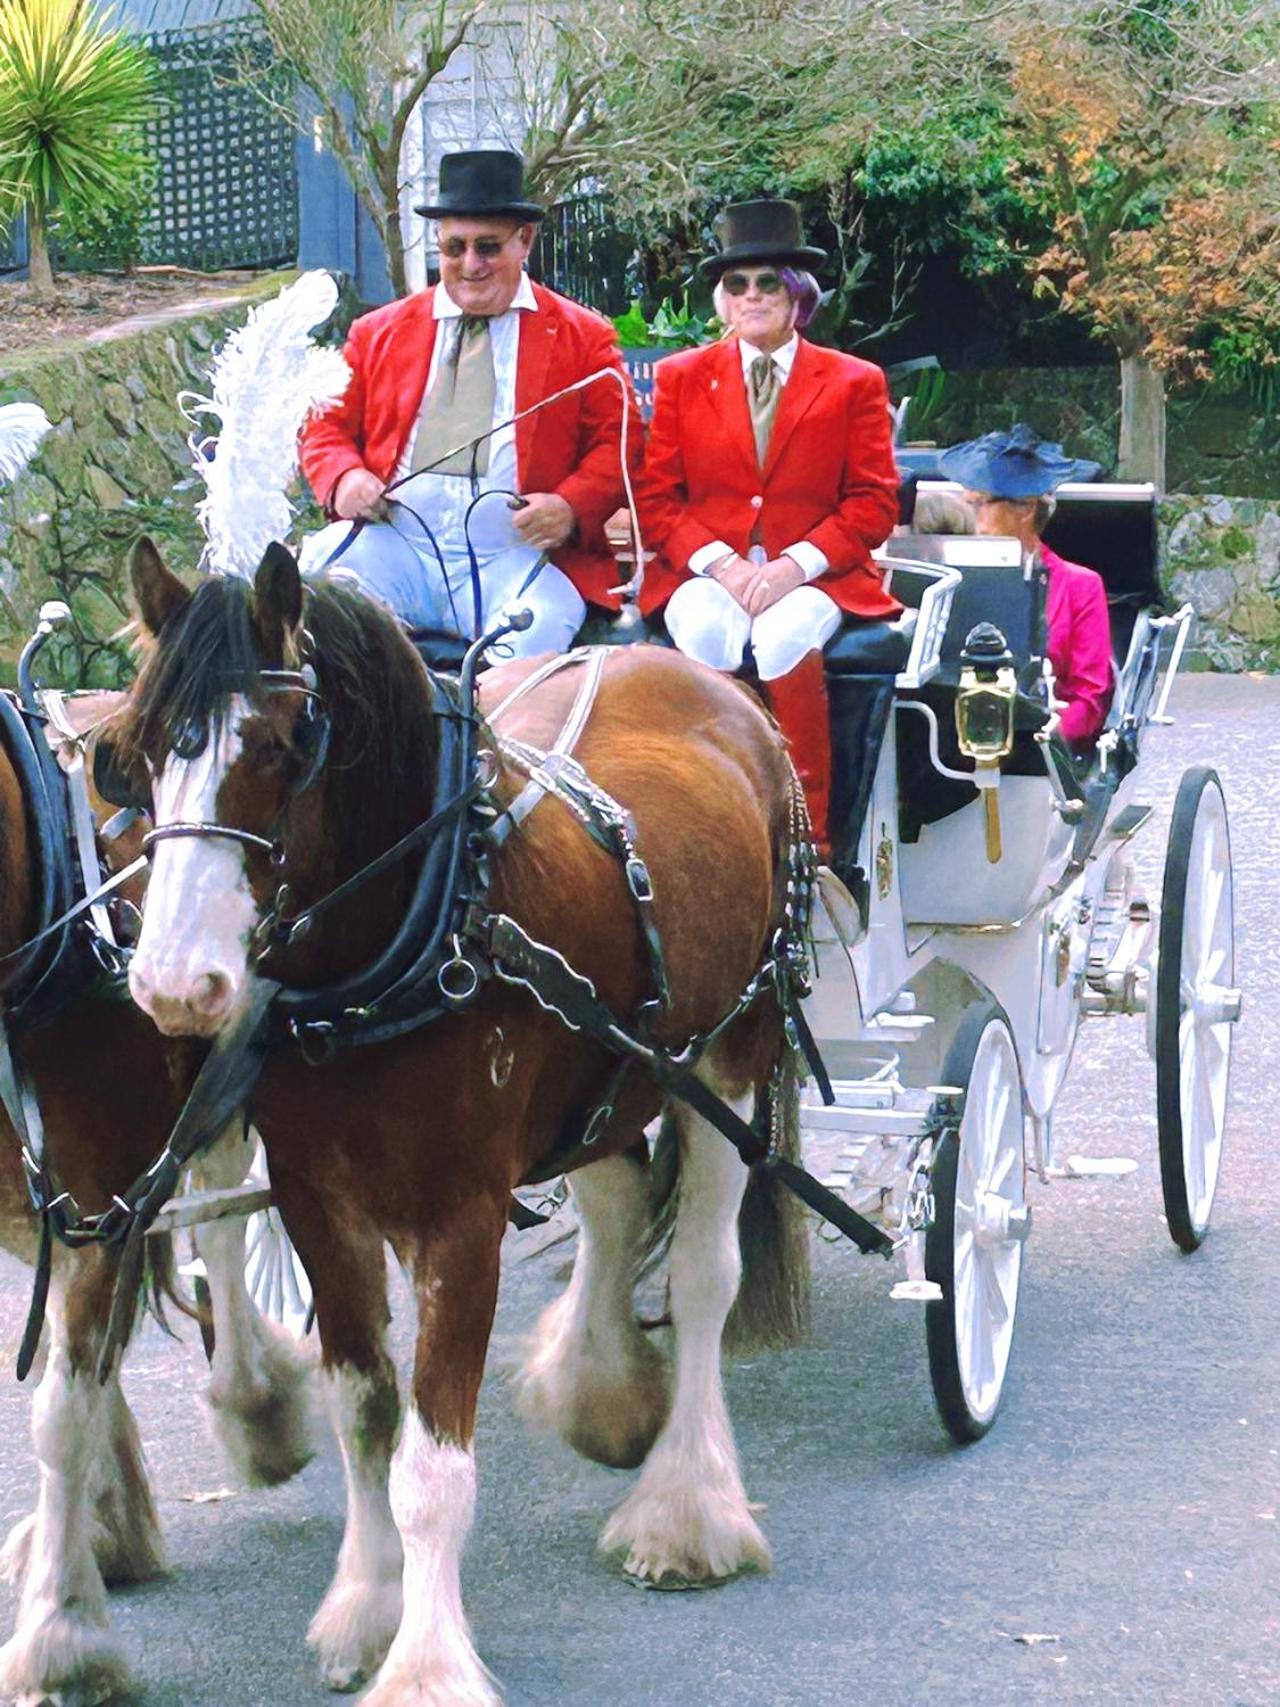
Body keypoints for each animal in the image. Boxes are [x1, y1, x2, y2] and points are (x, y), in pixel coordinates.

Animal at [0, 686, 319, 1700]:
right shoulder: (63, 1207)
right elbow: (80, 1372)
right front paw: (99, 1540)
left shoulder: (98, 1200)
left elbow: (62, 1409)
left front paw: (60, 1632)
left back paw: (258, 1403)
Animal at [112, 539, 812, 1700]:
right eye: (137, 750)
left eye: (280, 744)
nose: (174, 983)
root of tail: (695, 676)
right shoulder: (316, 1200)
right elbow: (364, 1416)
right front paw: (366, 1607)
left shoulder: (462, 1218)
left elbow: (432, 1469)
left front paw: (427, 1661)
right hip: (610, 1064)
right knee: (618, 1196)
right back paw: (602, 1391)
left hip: (731, 1050)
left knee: (708, 1272)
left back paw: (685, 1508)